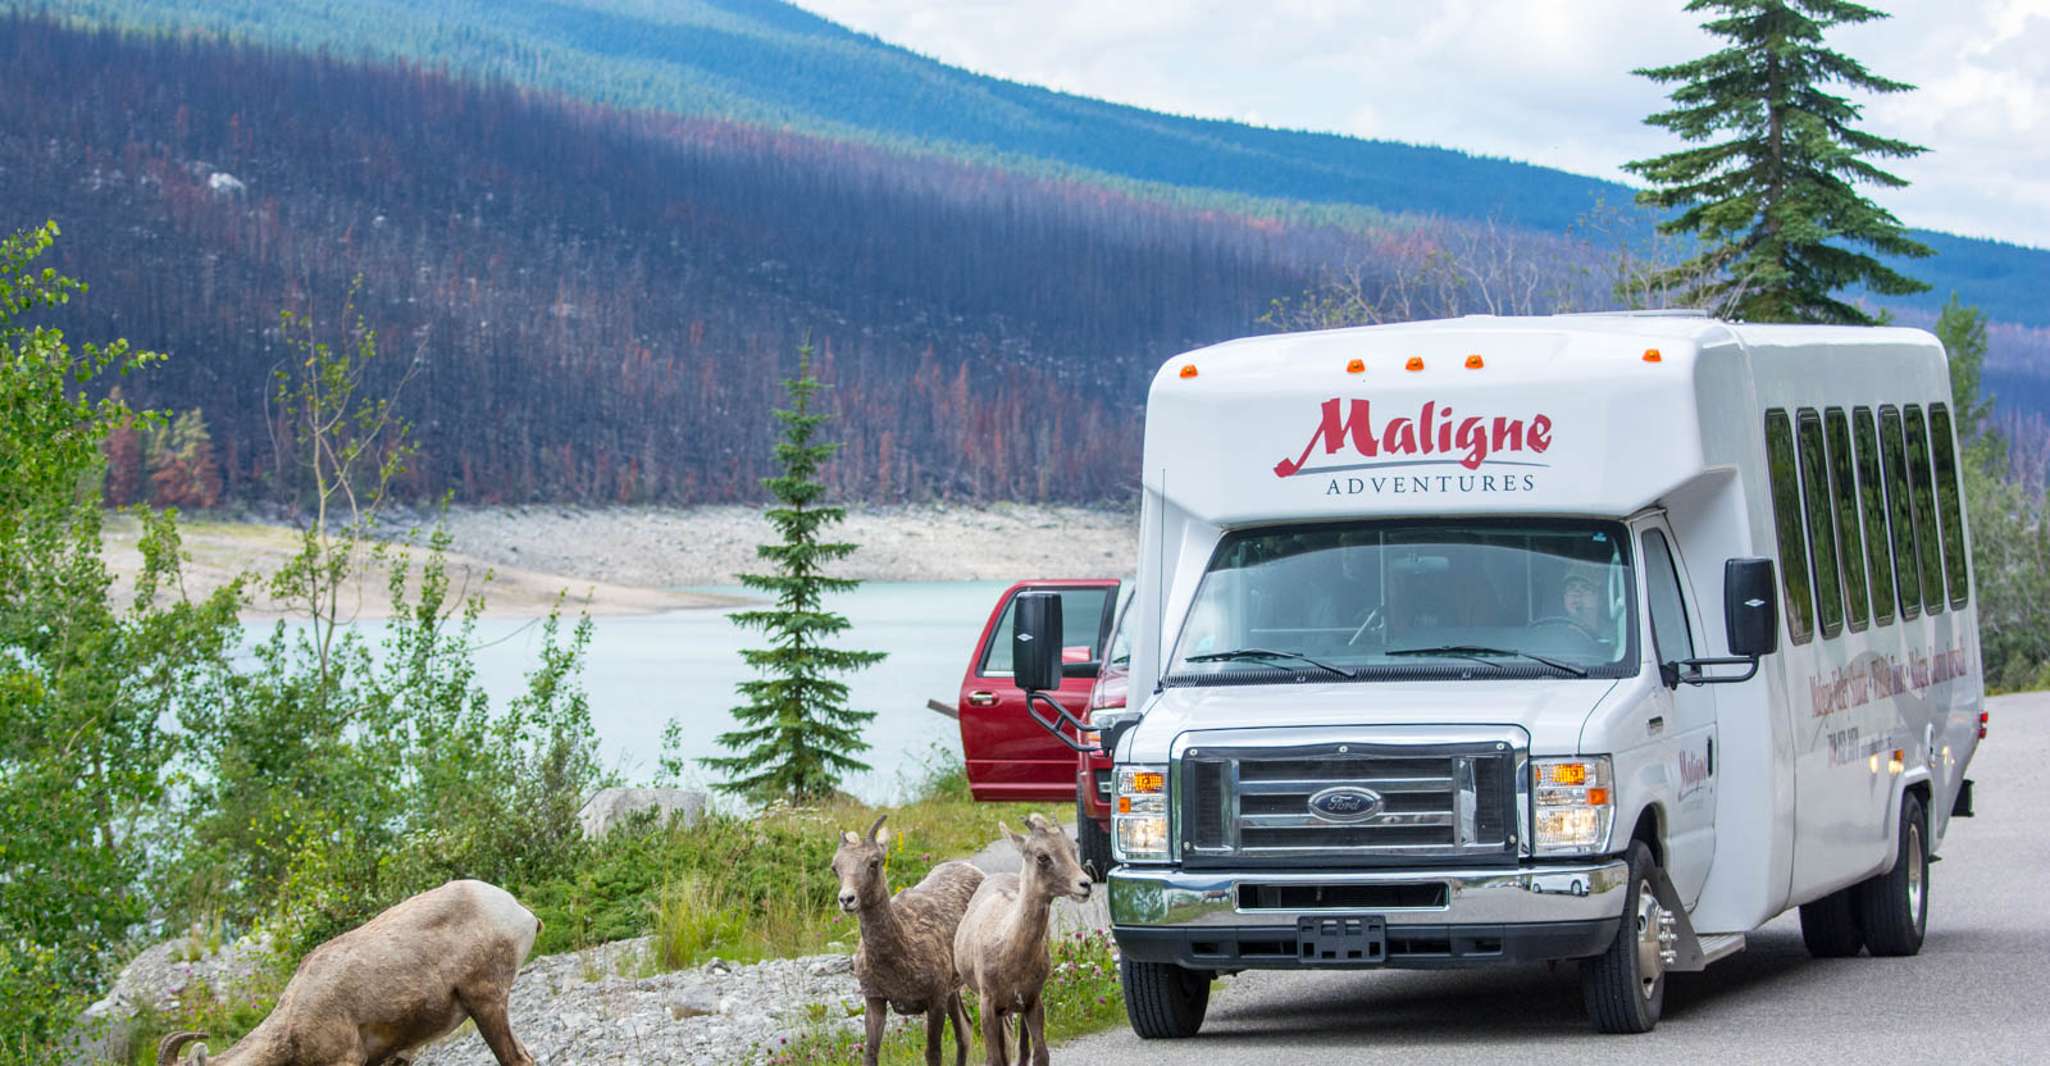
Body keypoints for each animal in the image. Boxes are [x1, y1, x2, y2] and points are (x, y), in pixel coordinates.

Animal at [836, 815, 988, 1066]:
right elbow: (870, 1054)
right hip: (953, 991)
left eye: (874, 862)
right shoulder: (875, 1000)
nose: (847, 899)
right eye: (835, 867)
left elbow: (933, 1053)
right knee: (965, 1031)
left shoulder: (935, 1000)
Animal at [955, 811, 1098, 1057]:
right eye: (1042, 856)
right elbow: (995, 1058)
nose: (1085, 884)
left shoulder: (1032, 1000)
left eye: (1072, 848)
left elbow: (1039, 1054)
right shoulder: (987, 1004)